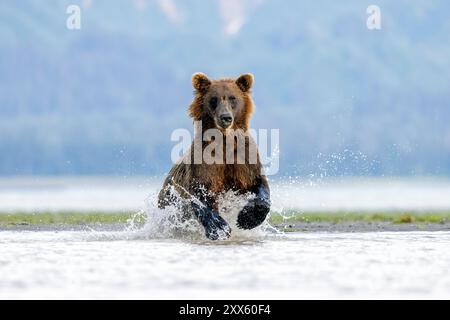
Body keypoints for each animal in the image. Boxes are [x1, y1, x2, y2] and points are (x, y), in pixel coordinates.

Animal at [158, 71, 270, 239]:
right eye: (213, 99)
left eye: (233, 98)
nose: (225, 117)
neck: (224, 141)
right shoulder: (203, 162)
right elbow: (200, 193)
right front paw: (218, 226)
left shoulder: (244, 158)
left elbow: (259, 183)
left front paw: (246, 218)